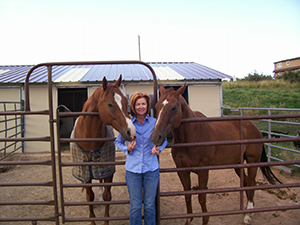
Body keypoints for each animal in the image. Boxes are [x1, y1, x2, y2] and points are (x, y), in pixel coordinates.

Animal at [71, 74, 135, 224]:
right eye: (110, 104)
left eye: (125, 102)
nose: (131, 131)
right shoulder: (85, 172)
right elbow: (89, 197)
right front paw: (92, 221)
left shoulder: (107, 170)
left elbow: (107, 196)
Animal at [152, 84, 282, 225]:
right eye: (157, 106)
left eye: (174, 107)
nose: (156, 137)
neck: (192, 136)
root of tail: (254, 127)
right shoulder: (182, 170)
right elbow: (187, 196)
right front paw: (189, 219)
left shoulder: (203, 170)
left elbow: (201, 197)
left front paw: (205, 220)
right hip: (238, 164)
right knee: (247, 182)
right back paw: (249, 210)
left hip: (253, 161)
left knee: (252, 182)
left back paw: (248, 215)